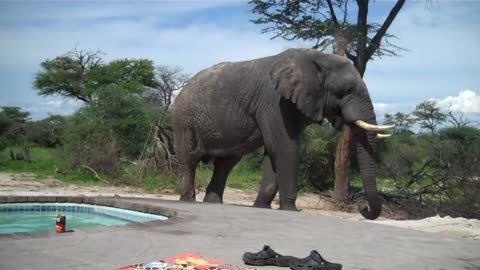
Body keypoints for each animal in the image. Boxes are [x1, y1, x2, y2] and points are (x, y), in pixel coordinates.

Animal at [171, 48, 392, 220]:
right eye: (346, 90)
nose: (363, 206)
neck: (314, 57)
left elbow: (273, 151)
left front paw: (262, 207)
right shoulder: (273, 100)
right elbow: (285, 147)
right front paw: (291, 210)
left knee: (226, 163)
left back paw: (213, 203)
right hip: (184, 119)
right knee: (189, 157)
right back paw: (189, 200)